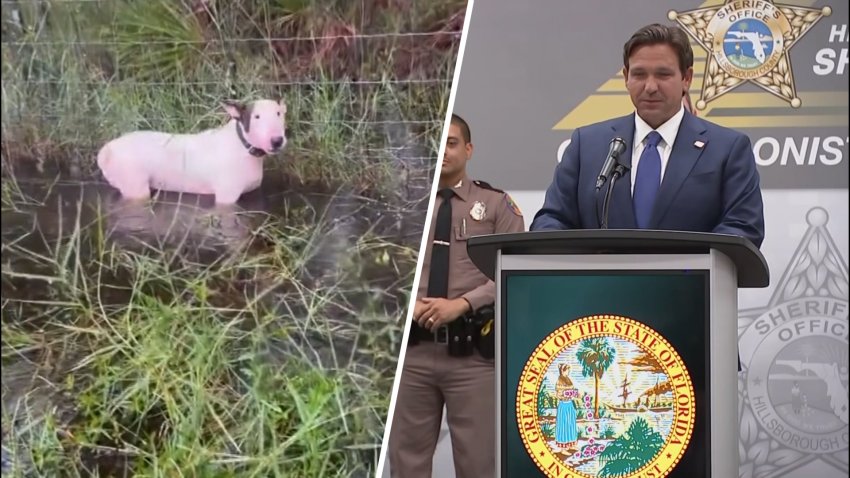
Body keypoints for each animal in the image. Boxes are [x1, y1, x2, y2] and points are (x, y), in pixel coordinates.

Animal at [94, 99, 284, 205]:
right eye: (256, 116)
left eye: (279, 113)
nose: (277, 141)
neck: (242, 146)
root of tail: (105, 151)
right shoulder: (226, 197)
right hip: (134, 186)